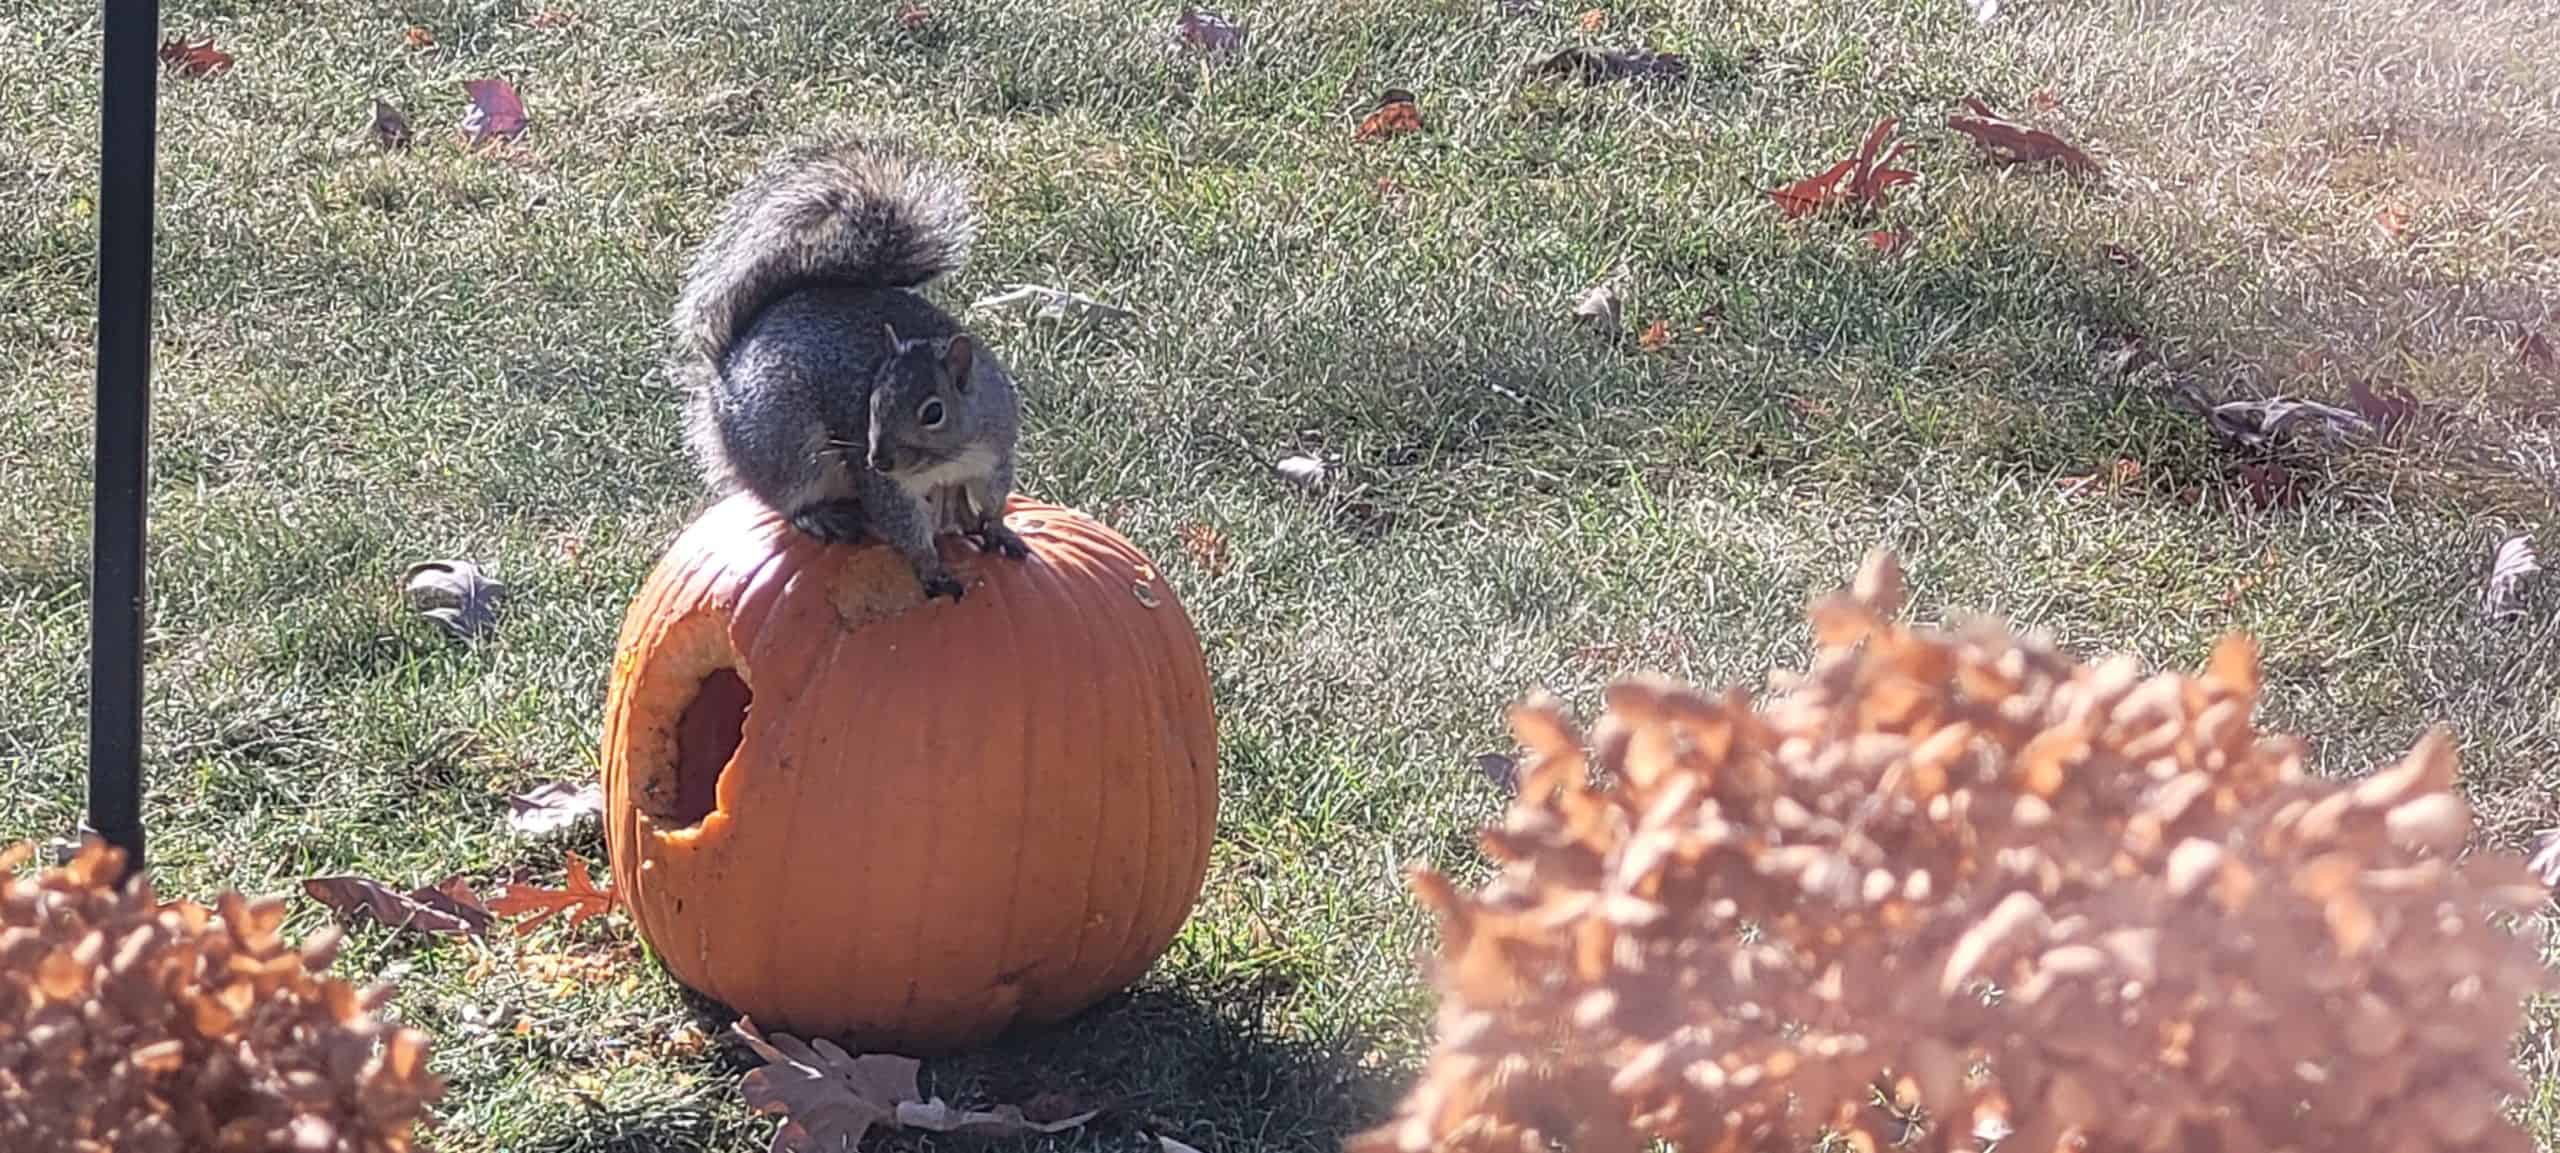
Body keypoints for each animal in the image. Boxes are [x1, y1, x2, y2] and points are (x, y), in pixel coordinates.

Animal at [670, 127, 1028, 602]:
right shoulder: (887, 488)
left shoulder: (994, 453)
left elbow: (991, 499)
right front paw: (931, 567)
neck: (946, 457)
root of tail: (725, 371)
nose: (879, 460)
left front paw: (996, 529)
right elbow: (905, 526)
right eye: (869, 403)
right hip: (786, 443)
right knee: (788, 496)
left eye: (933, 412)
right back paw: (821, 516)